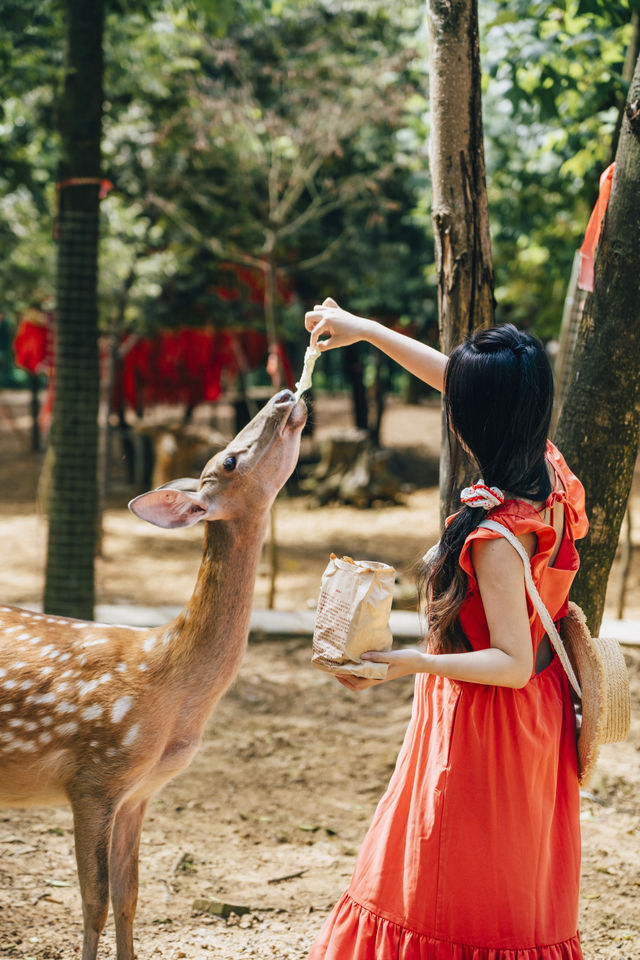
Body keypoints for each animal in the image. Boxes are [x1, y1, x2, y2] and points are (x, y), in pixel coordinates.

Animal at [0, 388, 308, 960]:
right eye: (229, 460)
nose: (283, 396)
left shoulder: (138, 793)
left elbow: (129, 896)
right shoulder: (94, 777)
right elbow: (94, 901)